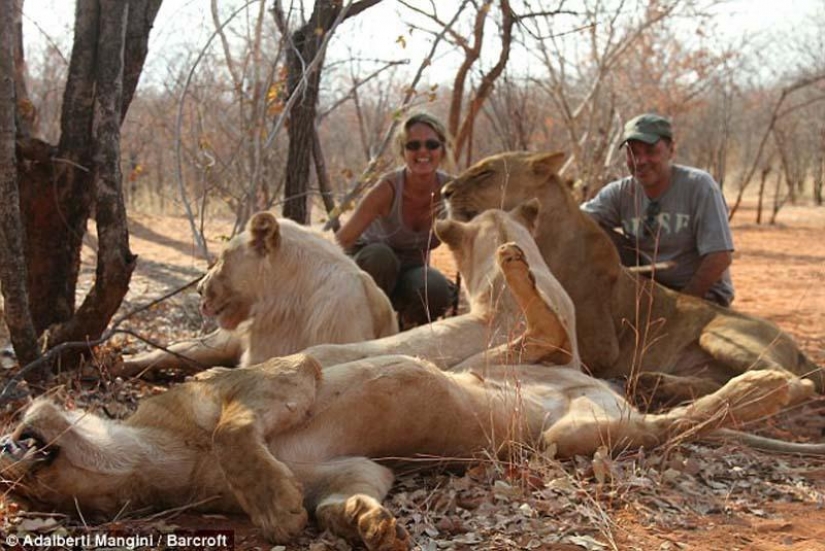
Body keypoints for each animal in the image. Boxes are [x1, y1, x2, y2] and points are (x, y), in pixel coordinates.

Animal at [2, 242, 817, 550]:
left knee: (641, 399)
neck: (156, 463)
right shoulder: (356, 469)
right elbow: (345, 498)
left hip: (549, 399)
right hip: (542, 405)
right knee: (587, 372)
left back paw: (771, 386)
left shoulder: (283, 375)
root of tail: (590, 385)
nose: (11, 446)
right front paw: (367, 526)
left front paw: (273, 509)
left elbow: (236, 427)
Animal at [441, 151, 825, 401]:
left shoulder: (599, 346)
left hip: (720, 333)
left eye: (485, 173)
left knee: (796, 383)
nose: (443, 192)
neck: (544, 234)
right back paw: (654, 384)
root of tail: (797, 345)